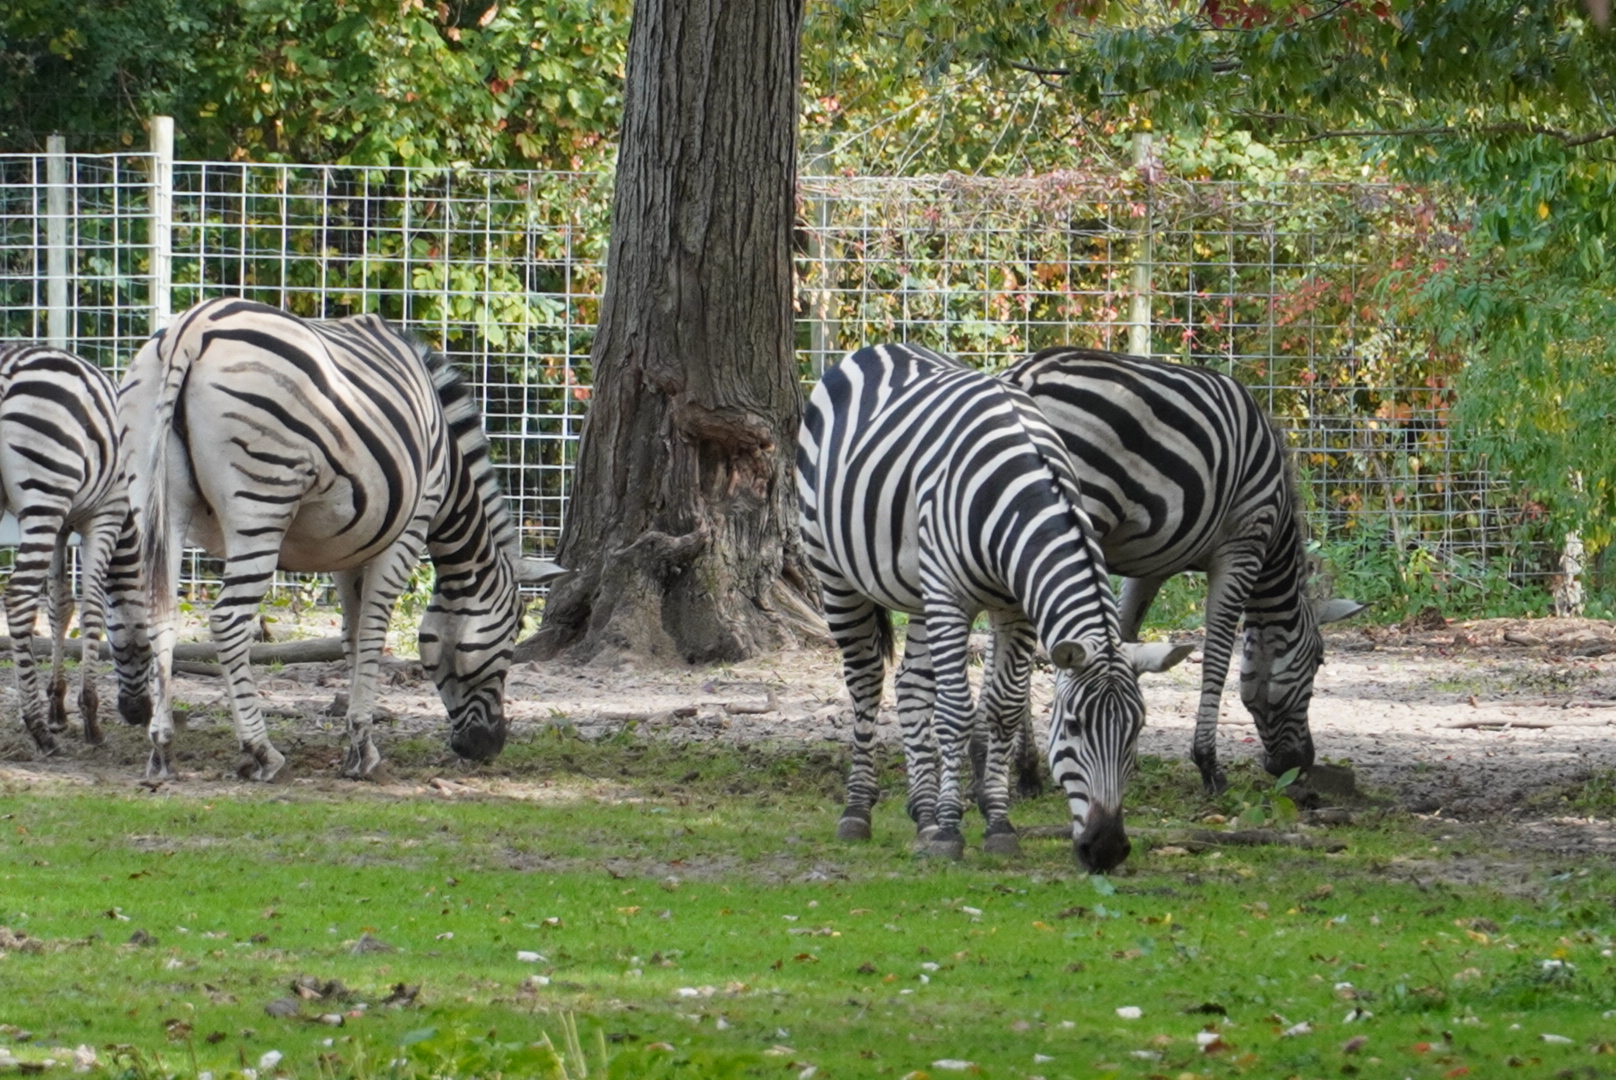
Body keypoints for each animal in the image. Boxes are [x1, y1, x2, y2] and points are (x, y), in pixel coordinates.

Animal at [0, 343, 151, 753]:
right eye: (147, 650)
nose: (140, 715)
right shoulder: (106, 514)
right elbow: (92, 609)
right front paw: (90, 718)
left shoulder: (62, 525)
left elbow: (59, 607)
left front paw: (58, 709)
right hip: (46, 490)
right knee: (18, 596)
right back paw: (37, 729)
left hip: (45, 504)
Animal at [117, 298, 564, 781]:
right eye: (516, 628)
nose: (486, 748)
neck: (449, 472)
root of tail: (192, 328)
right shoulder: (409, 528)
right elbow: (372, 632)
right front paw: (364, 749)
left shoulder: (348, 547)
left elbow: (350, 634)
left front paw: (354, 735)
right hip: (262, 498)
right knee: (229, 620)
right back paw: (262, 752)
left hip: (154, 498)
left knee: (159, 615)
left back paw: (162, 749)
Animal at [796, 343, 1191, 871]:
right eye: (1073, 726)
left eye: (1138, 728)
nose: (1107, 849)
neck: (1018, 492)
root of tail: (875, 349)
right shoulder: (950, 597)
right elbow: (955, 712)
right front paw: (950, 831)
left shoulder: (1015, 608)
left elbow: (1002, 709)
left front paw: (997, 825)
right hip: (832, 569)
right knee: (865, 682)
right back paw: (858, 812)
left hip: (917, 588)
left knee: (911, 687)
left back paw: (922, 816)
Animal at [999, 346, 1366, 795]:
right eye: (1318, 661)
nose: (1300, 763)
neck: (1276, 527)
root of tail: (1023, 375)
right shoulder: (1243, 545)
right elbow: (1219, 652)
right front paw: (1207, 763)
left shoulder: (1149, 563)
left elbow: (1124, 634)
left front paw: (1124, 750)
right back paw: (1026, 766)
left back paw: (1025, 769)